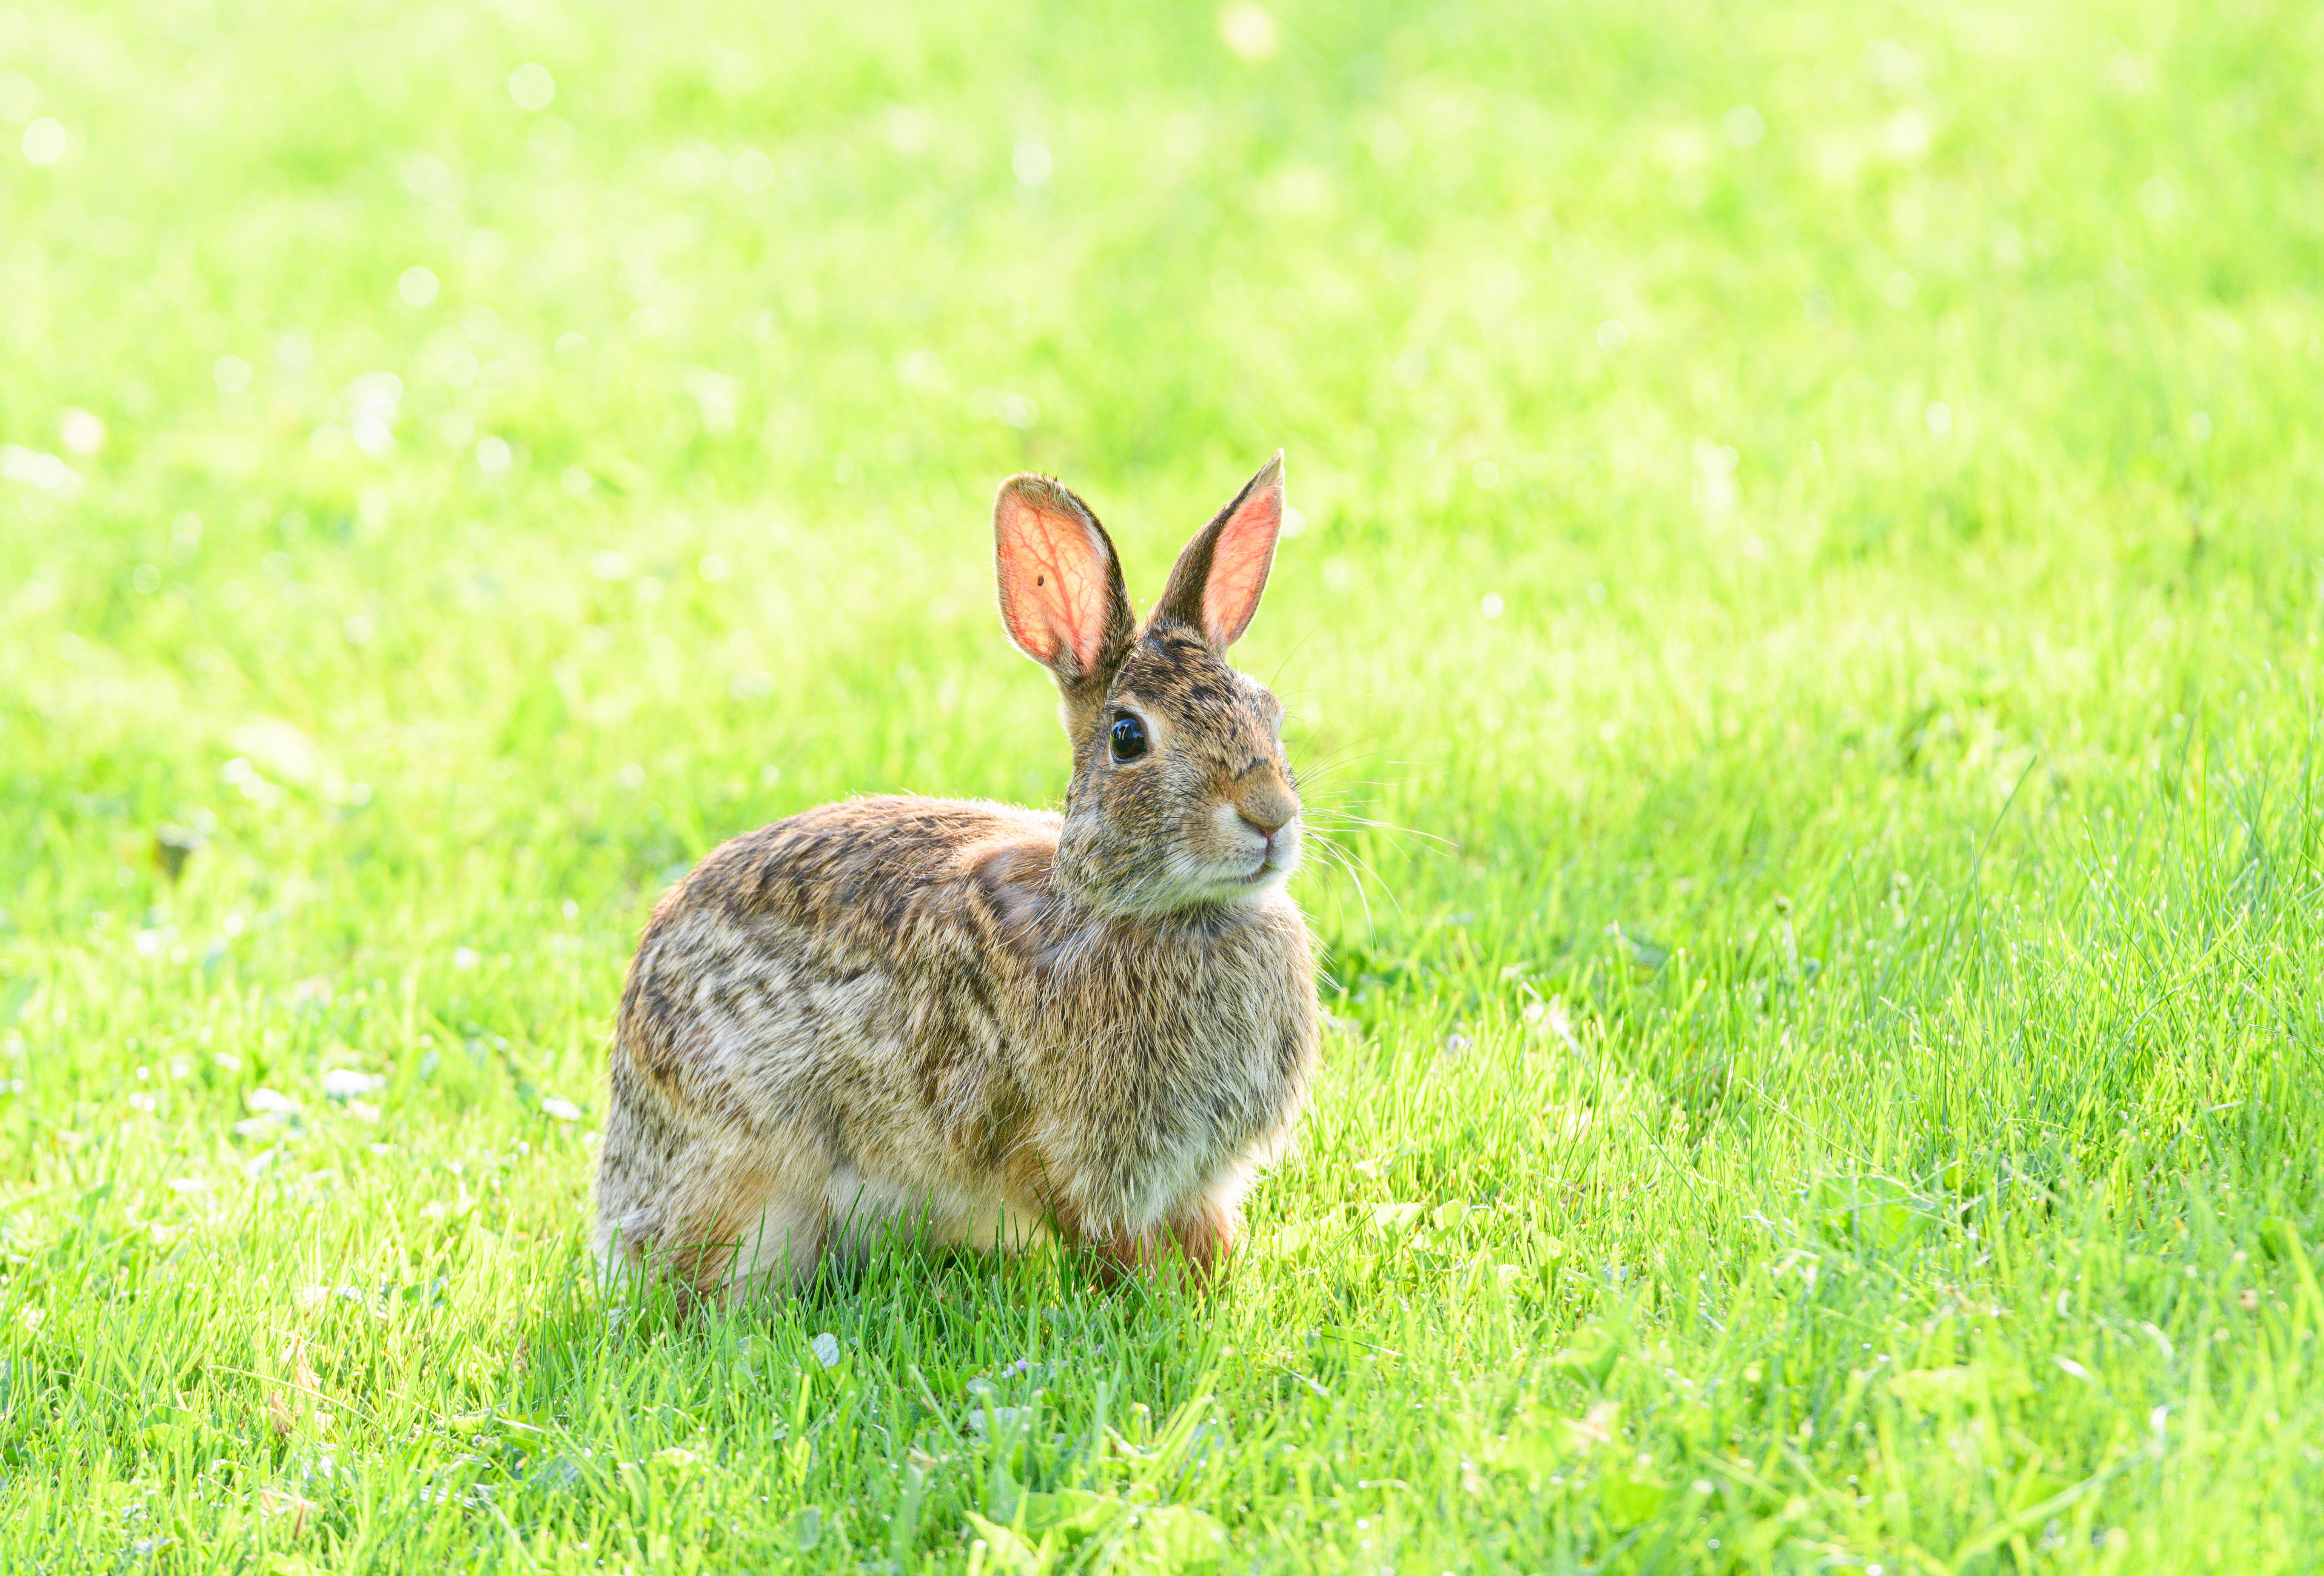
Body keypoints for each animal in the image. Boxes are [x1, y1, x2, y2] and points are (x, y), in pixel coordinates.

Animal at [594, 452, 1318, 1302]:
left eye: (1268, 711)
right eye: (1128, 736)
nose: (1271, 816)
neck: (1148, 909)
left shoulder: (1197, 1177)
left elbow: (1207, 1238)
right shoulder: (1063, 1153)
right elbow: (1107, 1244)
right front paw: (1146, 1303)